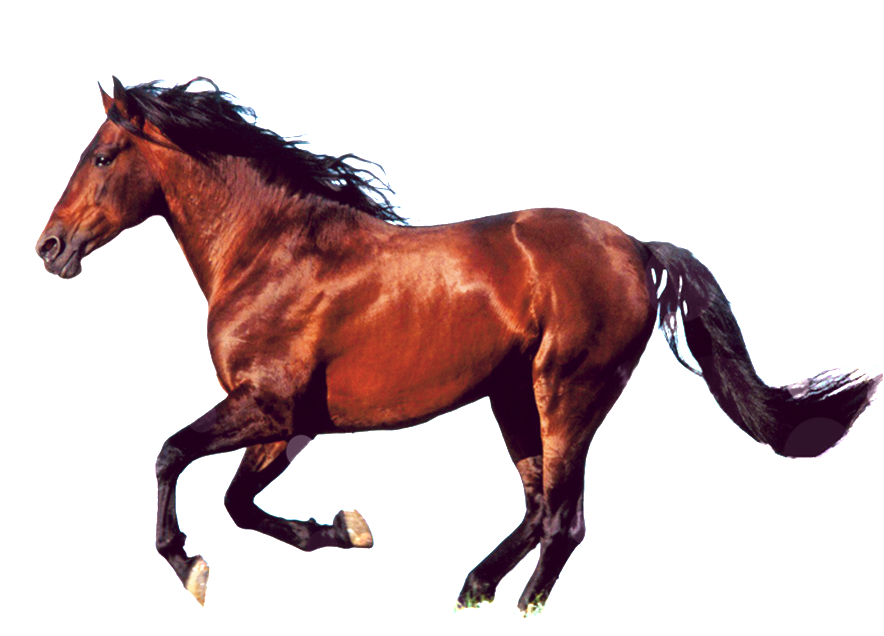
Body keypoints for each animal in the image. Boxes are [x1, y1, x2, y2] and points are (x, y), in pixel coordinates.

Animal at [34, 75, 882, 615]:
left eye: (102, 156)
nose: (50, 247)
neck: (271, 251)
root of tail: (638, 247)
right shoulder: (293, 422)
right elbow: (238, 498)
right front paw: (344, 531)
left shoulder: (271, 406)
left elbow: (171, 455)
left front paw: (190, 567)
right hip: (514, 399)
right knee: (544, 508)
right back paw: (484, 592)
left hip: (566, 393)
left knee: (562, 516)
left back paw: (502, 601)